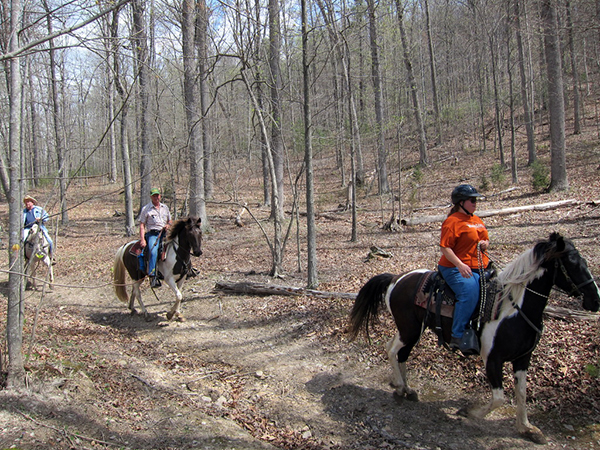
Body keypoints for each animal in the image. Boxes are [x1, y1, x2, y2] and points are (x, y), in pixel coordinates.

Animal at [350, 234, 596, 444]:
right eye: (572, 263)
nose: (595, 300)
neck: (513, 309)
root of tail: (396, 278)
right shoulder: (493, 359)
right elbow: (499, 398)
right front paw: (469, 412)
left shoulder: (522, 359)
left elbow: (522, 393)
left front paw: (527, 428)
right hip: (409, 330)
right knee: (392, 350)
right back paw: (401, 386)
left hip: (412, 330)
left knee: (399, 352)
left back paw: (407, 388)